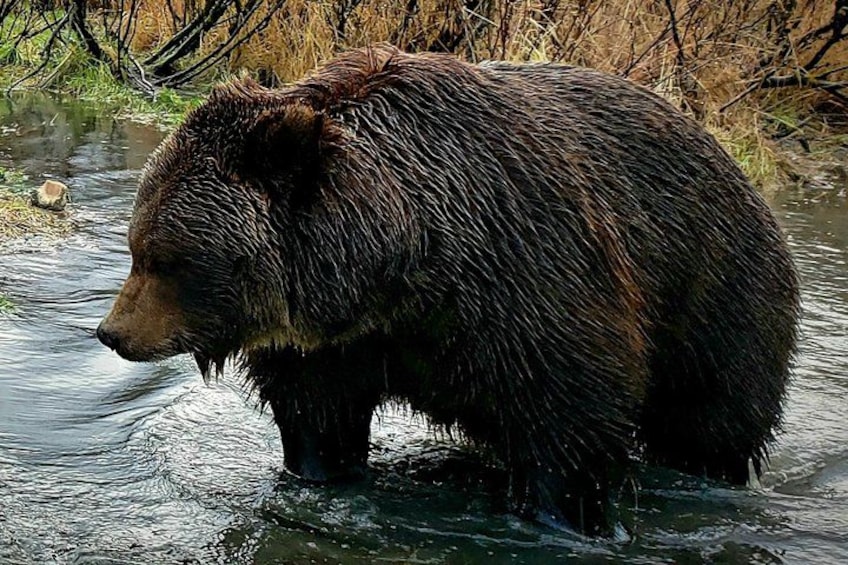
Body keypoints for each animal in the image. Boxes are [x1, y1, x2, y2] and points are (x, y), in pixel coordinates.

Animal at [97, 44, 800, 535]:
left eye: (167, 259)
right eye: (136, 246)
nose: (113, 333)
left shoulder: (530, 279)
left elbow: (569, 417)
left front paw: (565, 517)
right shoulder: (335, 344)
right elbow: (317, 416)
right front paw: (319, 473)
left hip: (717, 297)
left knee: (710, 425)